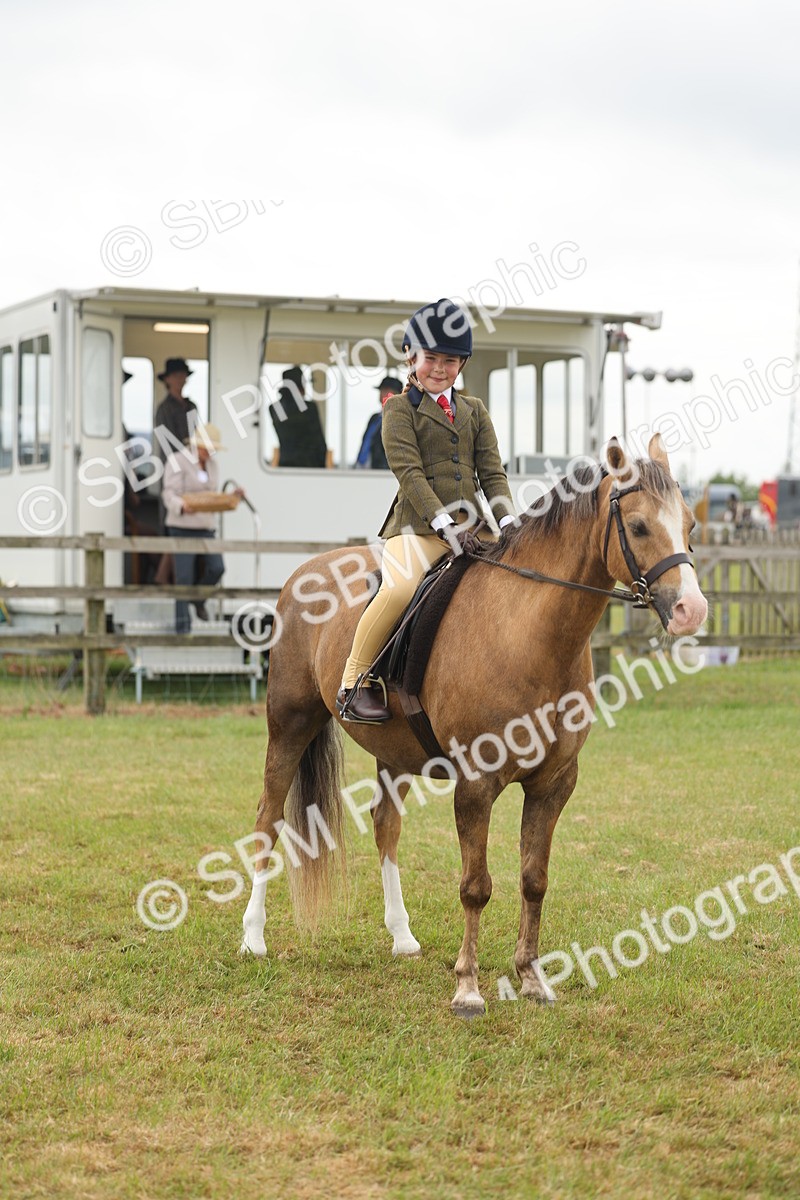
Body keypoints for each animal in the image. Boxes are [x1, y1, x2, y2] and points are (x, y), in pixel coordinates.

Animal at [240, 434, 708, 1016]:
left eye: (690, 525)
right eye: (640, 527)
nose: (692, 610)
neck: (529, 632)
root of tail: (303, 573)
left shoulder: (554, 784)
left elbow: (534, 879)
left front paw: (531, 978)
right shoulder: (476, 785)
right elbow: (475, 885)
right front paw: (467, 987)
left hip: (394, 752)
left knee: (385, 825)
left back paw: (402, 936)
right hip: (289, 724)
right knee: (268, 819)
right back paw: (253, 937)